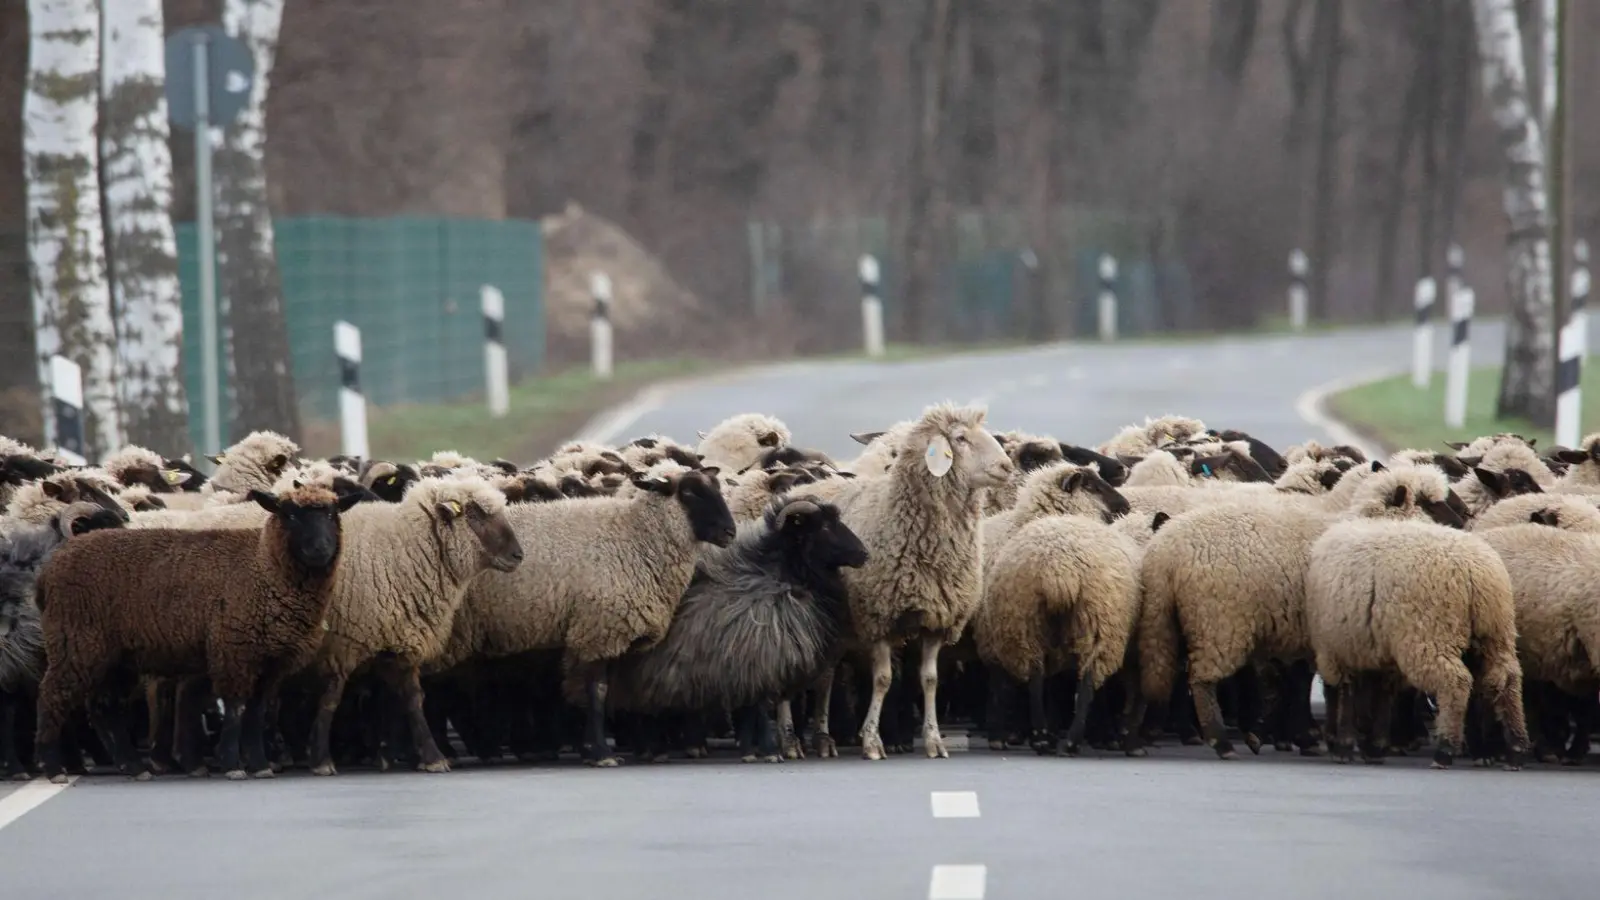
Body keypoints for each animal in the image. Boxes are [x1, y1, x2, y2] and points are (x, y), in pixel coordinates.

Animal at [35, 477, 363, 778]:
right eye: (290, 515)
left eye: (333, 514)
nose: (320, 549)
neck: (263, 569)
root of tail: (51, 568)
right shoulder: (234, 651)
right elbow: (236, 710)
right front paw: (233, 764)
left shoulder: (270, 663)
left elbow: (256, 714)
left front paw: (259, 764)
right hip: (75, 643)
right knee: (51, 697)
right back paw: (53, 767)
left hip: (113, 657)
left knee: (105, 708)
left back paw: (133, 765)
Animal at [300, 474, 524, 775]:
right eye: (475, 514)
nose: (518, 555)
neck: (401, 549)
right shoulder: (342, 643)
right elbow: (331, 700)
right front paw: (321, 759)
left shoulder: (400, 639)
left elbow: (412, 700)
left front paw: (428, 756)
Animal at [438, 461, 736, 762]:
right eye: (689, 493)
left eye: (716, 488)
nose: (730, 533)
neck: (636, 536)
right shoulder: (598, 630)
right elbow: (598, 693)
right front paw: (601, 752)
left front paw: (631, 746)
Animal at [598, 493, 870, 759]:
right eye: (824, 526)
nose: (864, 554)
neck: (778, 577)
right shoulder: (757, 659)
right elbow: (760, 709)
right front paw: (769, 750)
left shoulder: (745, 664)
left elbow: (750, 710)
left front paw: (751, 749)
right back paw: (650, 748)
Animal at [1132, 461, 1459, 755]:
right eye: (1429, 504)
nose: (1461, 523)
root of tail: (1164, 550)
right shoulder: (1324, 634)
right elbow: (1308, 684)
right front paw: (1312, 737)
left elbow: (1310, 684)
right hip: (1219, 621)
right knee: (1201, 680)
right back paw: (1219, 740)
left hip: (1176, 619)